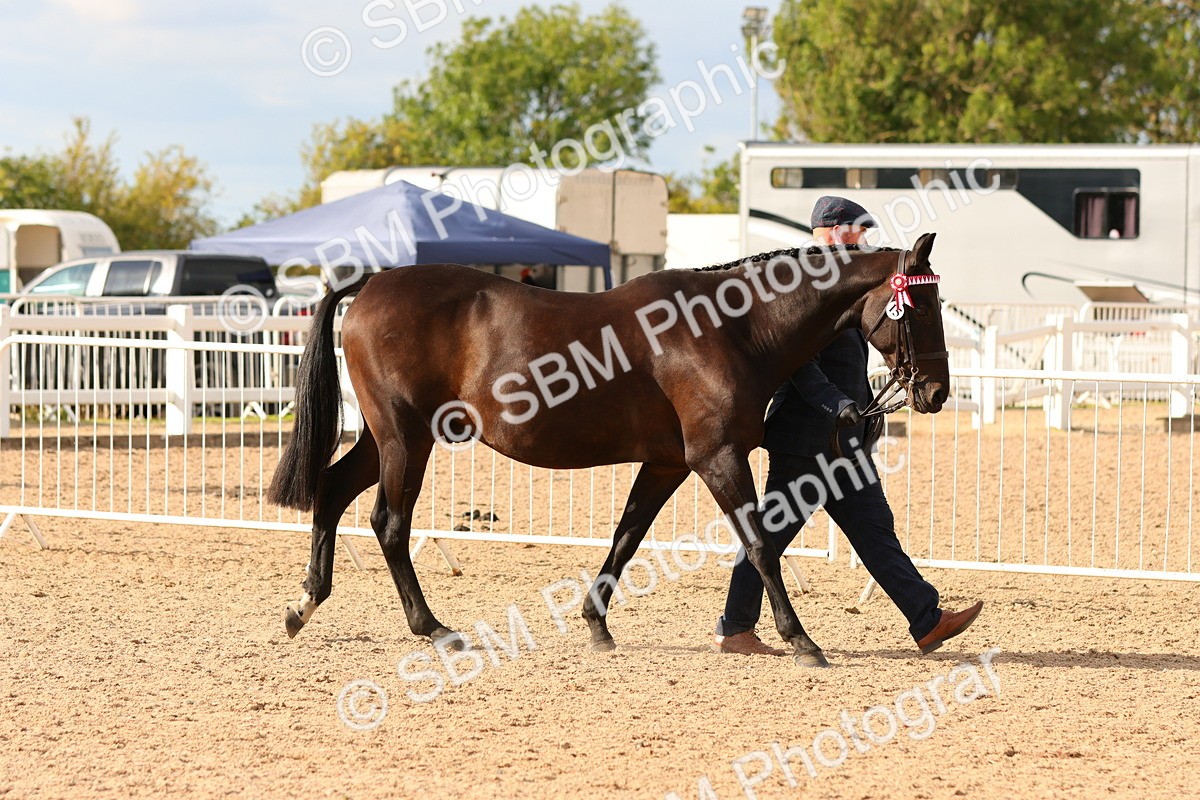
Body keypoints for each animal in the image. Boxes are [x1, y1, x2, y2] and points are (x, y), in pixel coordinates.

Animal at [267, 232, 949, 668]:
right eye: (920, 306)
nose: (937, 392)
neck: (732, 327)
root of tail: (372, 284)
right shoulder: (717, 457)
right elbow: (758, 543)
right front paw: (802, 641)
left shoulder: (668, 463)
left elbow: (628, 535)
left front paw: (597, 625)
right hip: (405, 439)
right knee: (389, 522)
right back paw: (433, 628)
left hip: (383, 439)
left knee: (332, 491)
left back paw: (305, 604)